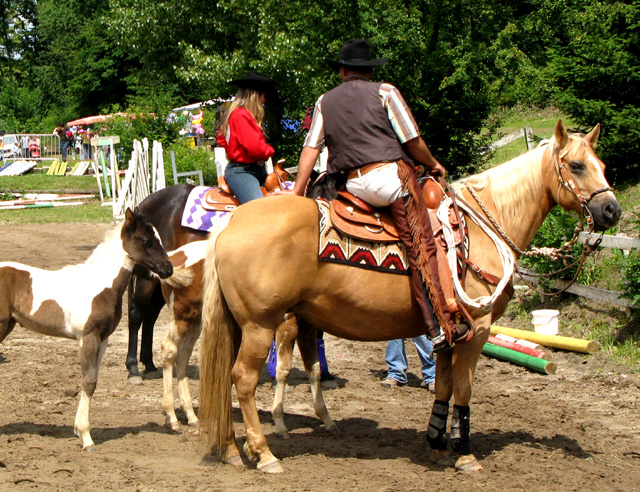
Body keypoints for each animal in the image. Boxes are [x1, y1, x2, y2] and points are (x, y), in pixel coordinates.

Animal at [0, 208, 173, 451]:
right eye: (147, 241)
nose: (168, 269)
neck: (99, 284)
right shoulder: (88, 337)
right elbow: (89, 382)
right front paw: (86, 438)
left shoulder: (103, 340)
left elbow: (91, 380)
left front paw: (78, 431)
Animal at [197, 120, 622, 473]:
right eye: (577, 166)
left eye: (602, 163)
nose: (611, 210)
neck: (482, 230)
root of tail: (231, 223)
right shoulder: (478, 330)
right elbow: (464, 389)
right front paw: (464, 453)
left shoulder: (451, 334)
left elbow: (445, 386)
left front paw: (437, 443)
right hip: (260, 324)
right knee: (243, 379)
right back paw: (264, 454)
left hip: (245, 324)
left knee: (226, 377)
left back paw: (233, 450)